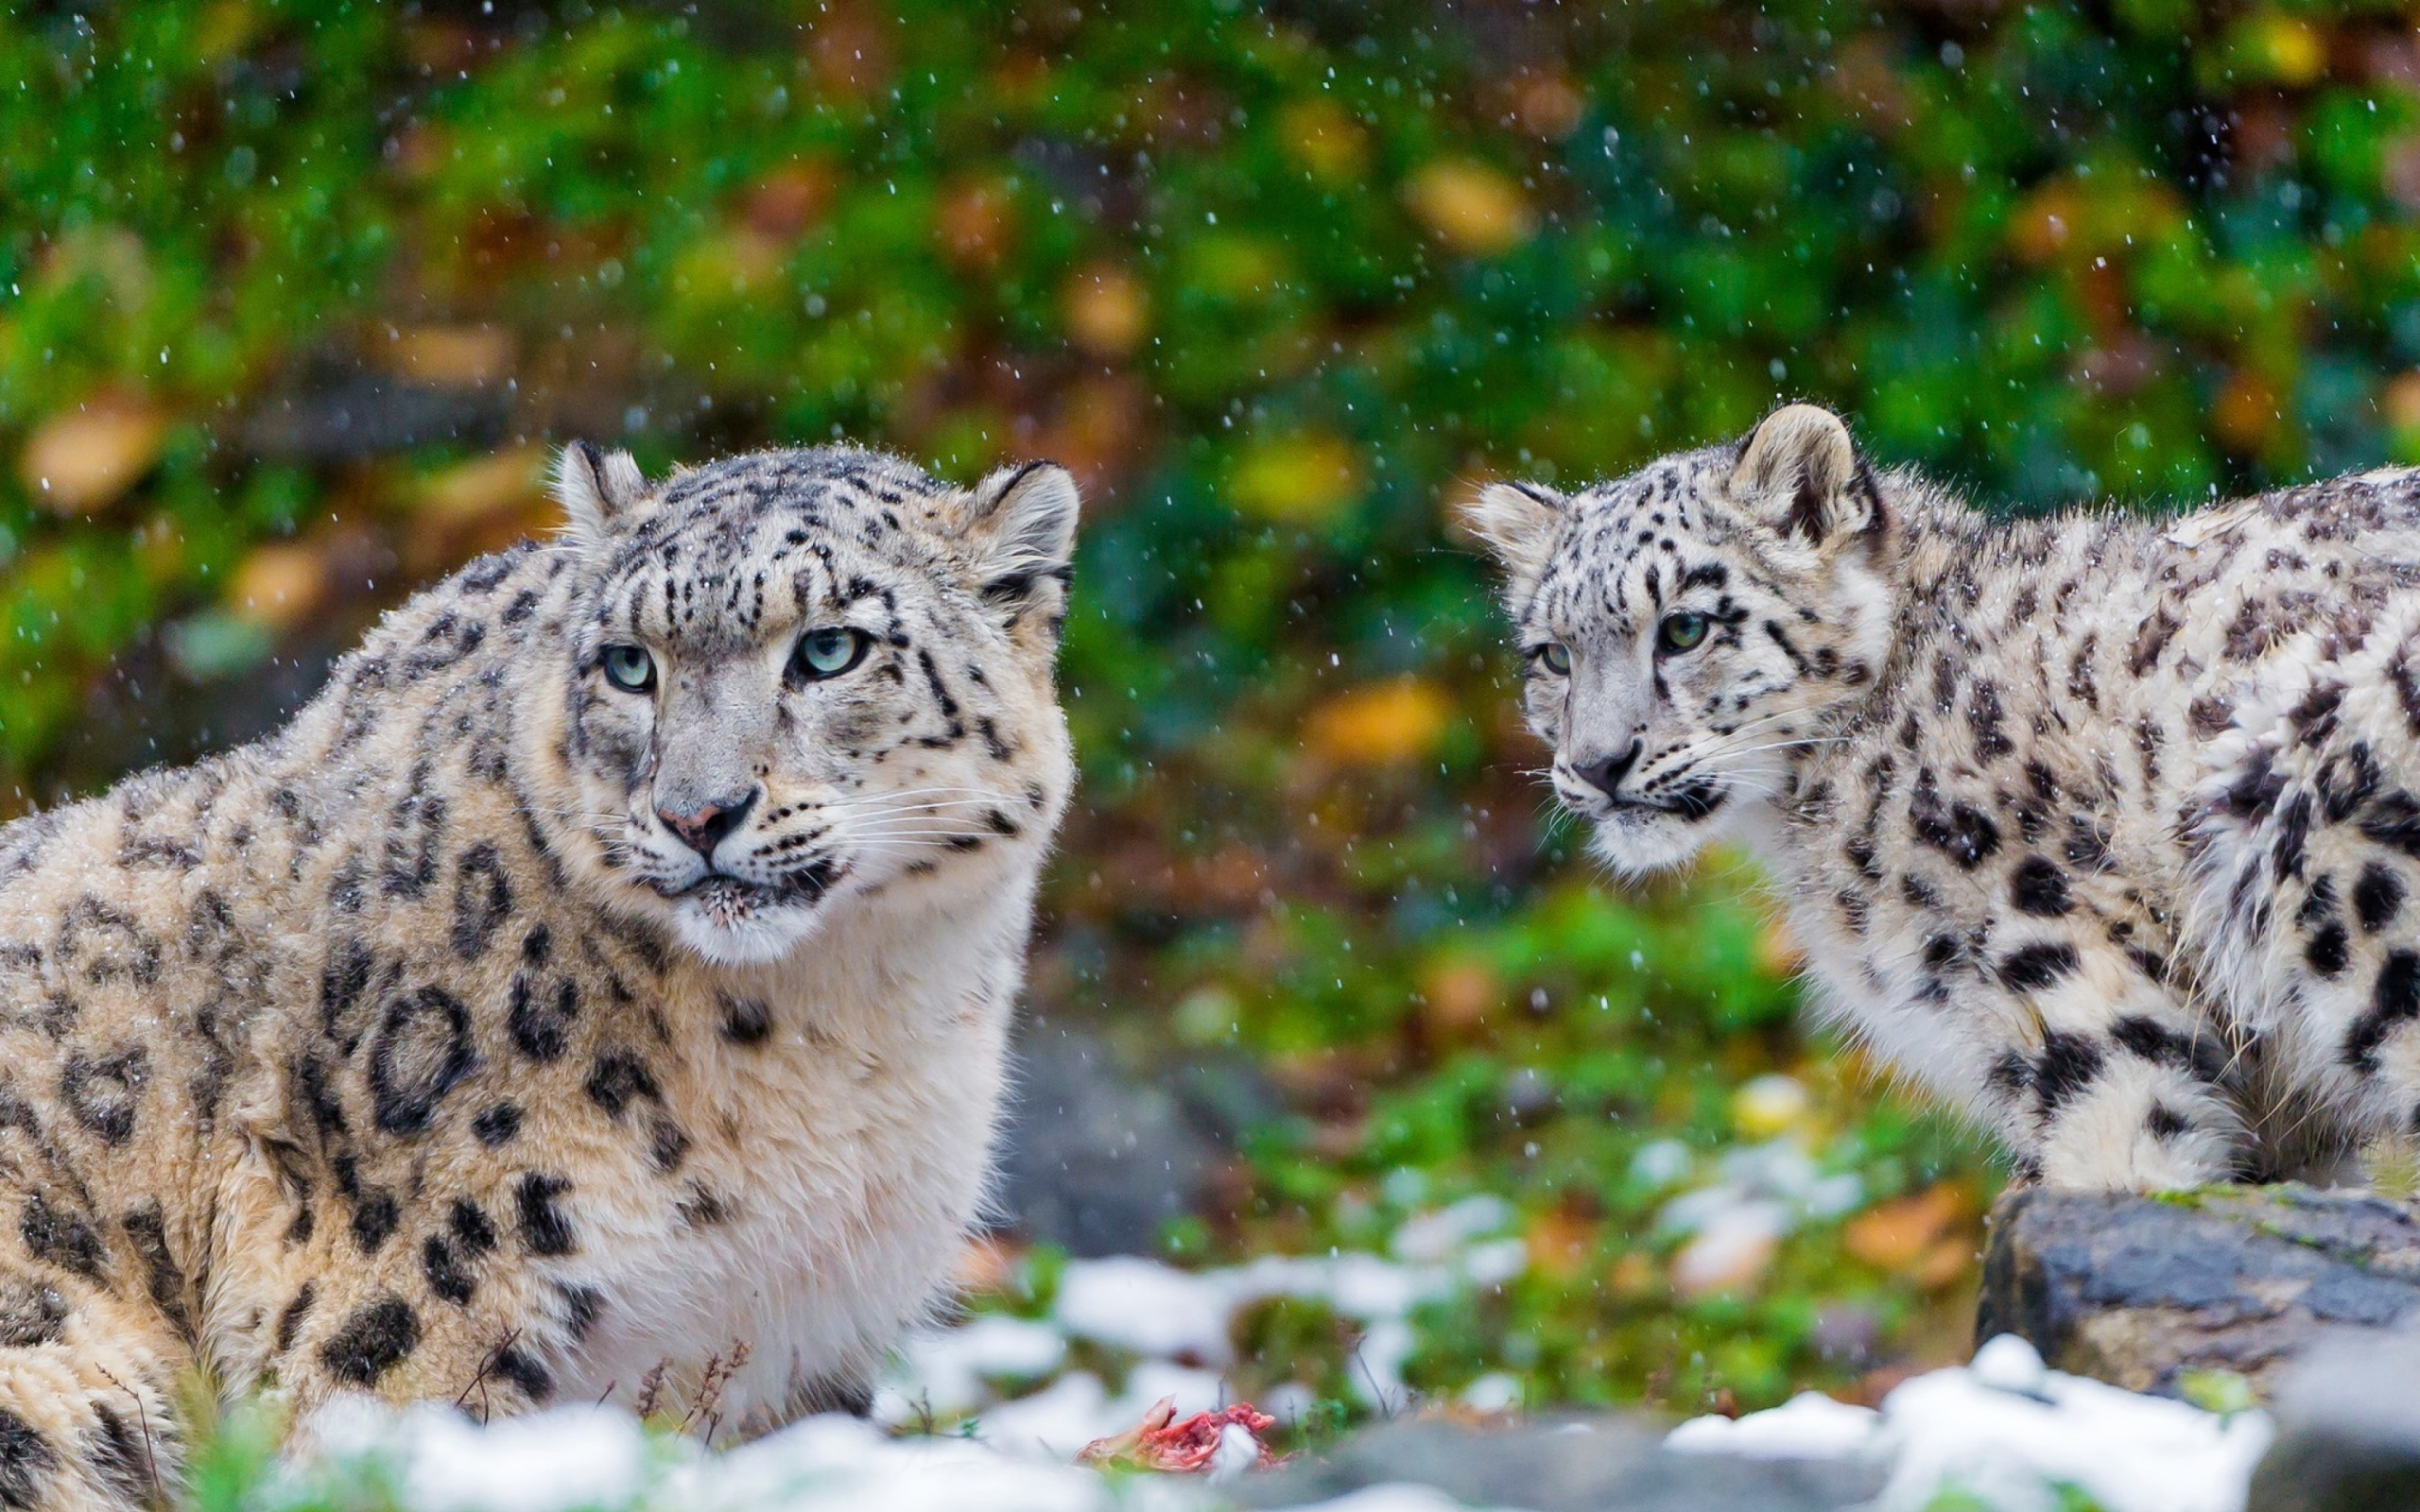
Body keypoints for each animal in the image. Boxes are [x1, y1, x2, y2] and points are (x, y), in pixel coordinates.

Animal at [0, 435, 1079, 1500]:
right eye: (630, 665)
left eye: (828, 649)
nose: (698, 813)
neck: (843, 1030)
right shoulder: (418, 1298)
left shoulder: (803, 1349)